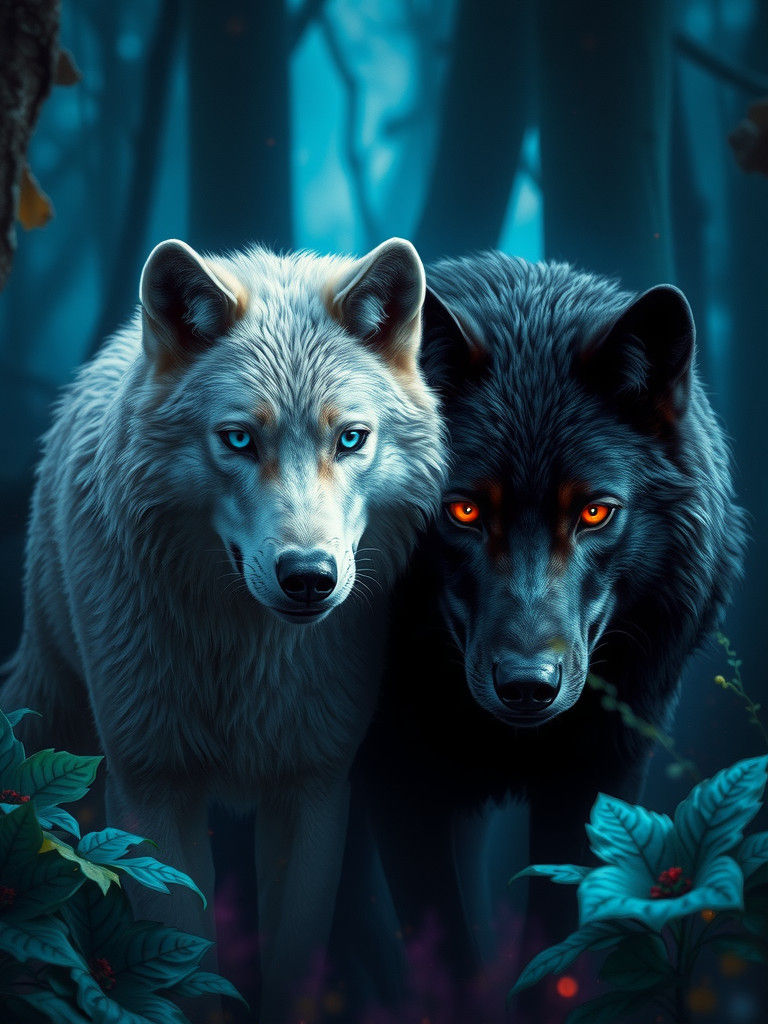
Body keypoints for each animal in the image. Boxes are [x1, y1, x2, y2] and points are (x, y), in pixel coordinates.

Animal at [2, 236, 446, 1022]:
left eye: (351, 439)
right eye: (238, 439)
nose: (308, 575)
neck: (247, 651)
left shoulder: (315, 789)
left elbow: (294, 966)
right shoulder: (151, 787)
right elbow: (190, 968)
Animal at [354, 253, 745, 1004]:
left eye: (594, 512)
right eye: (463, 509)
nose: (527, 686)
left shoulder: (600, 774)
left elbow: (555, 945)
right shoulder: (396, 781)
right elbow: (446, 952)